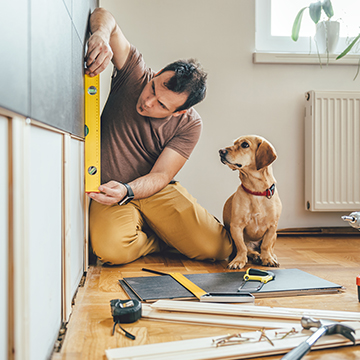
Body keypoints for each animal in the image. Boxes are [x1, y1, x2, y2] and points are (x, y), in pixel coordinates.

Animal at [218, 136, 282, 270]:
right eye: (234, 143)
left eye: (245, 145)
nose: (220, 151)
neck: (256, 191)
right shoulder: (236, 226)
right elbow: (242, 247)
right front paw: (239, 261)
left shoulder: (272, 227)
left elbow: (266, 245)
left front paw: (268, 258)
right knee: (249, 249)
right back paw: (256, 255)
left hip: (275, 235)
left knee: (268, 248)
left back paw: (270, 256)